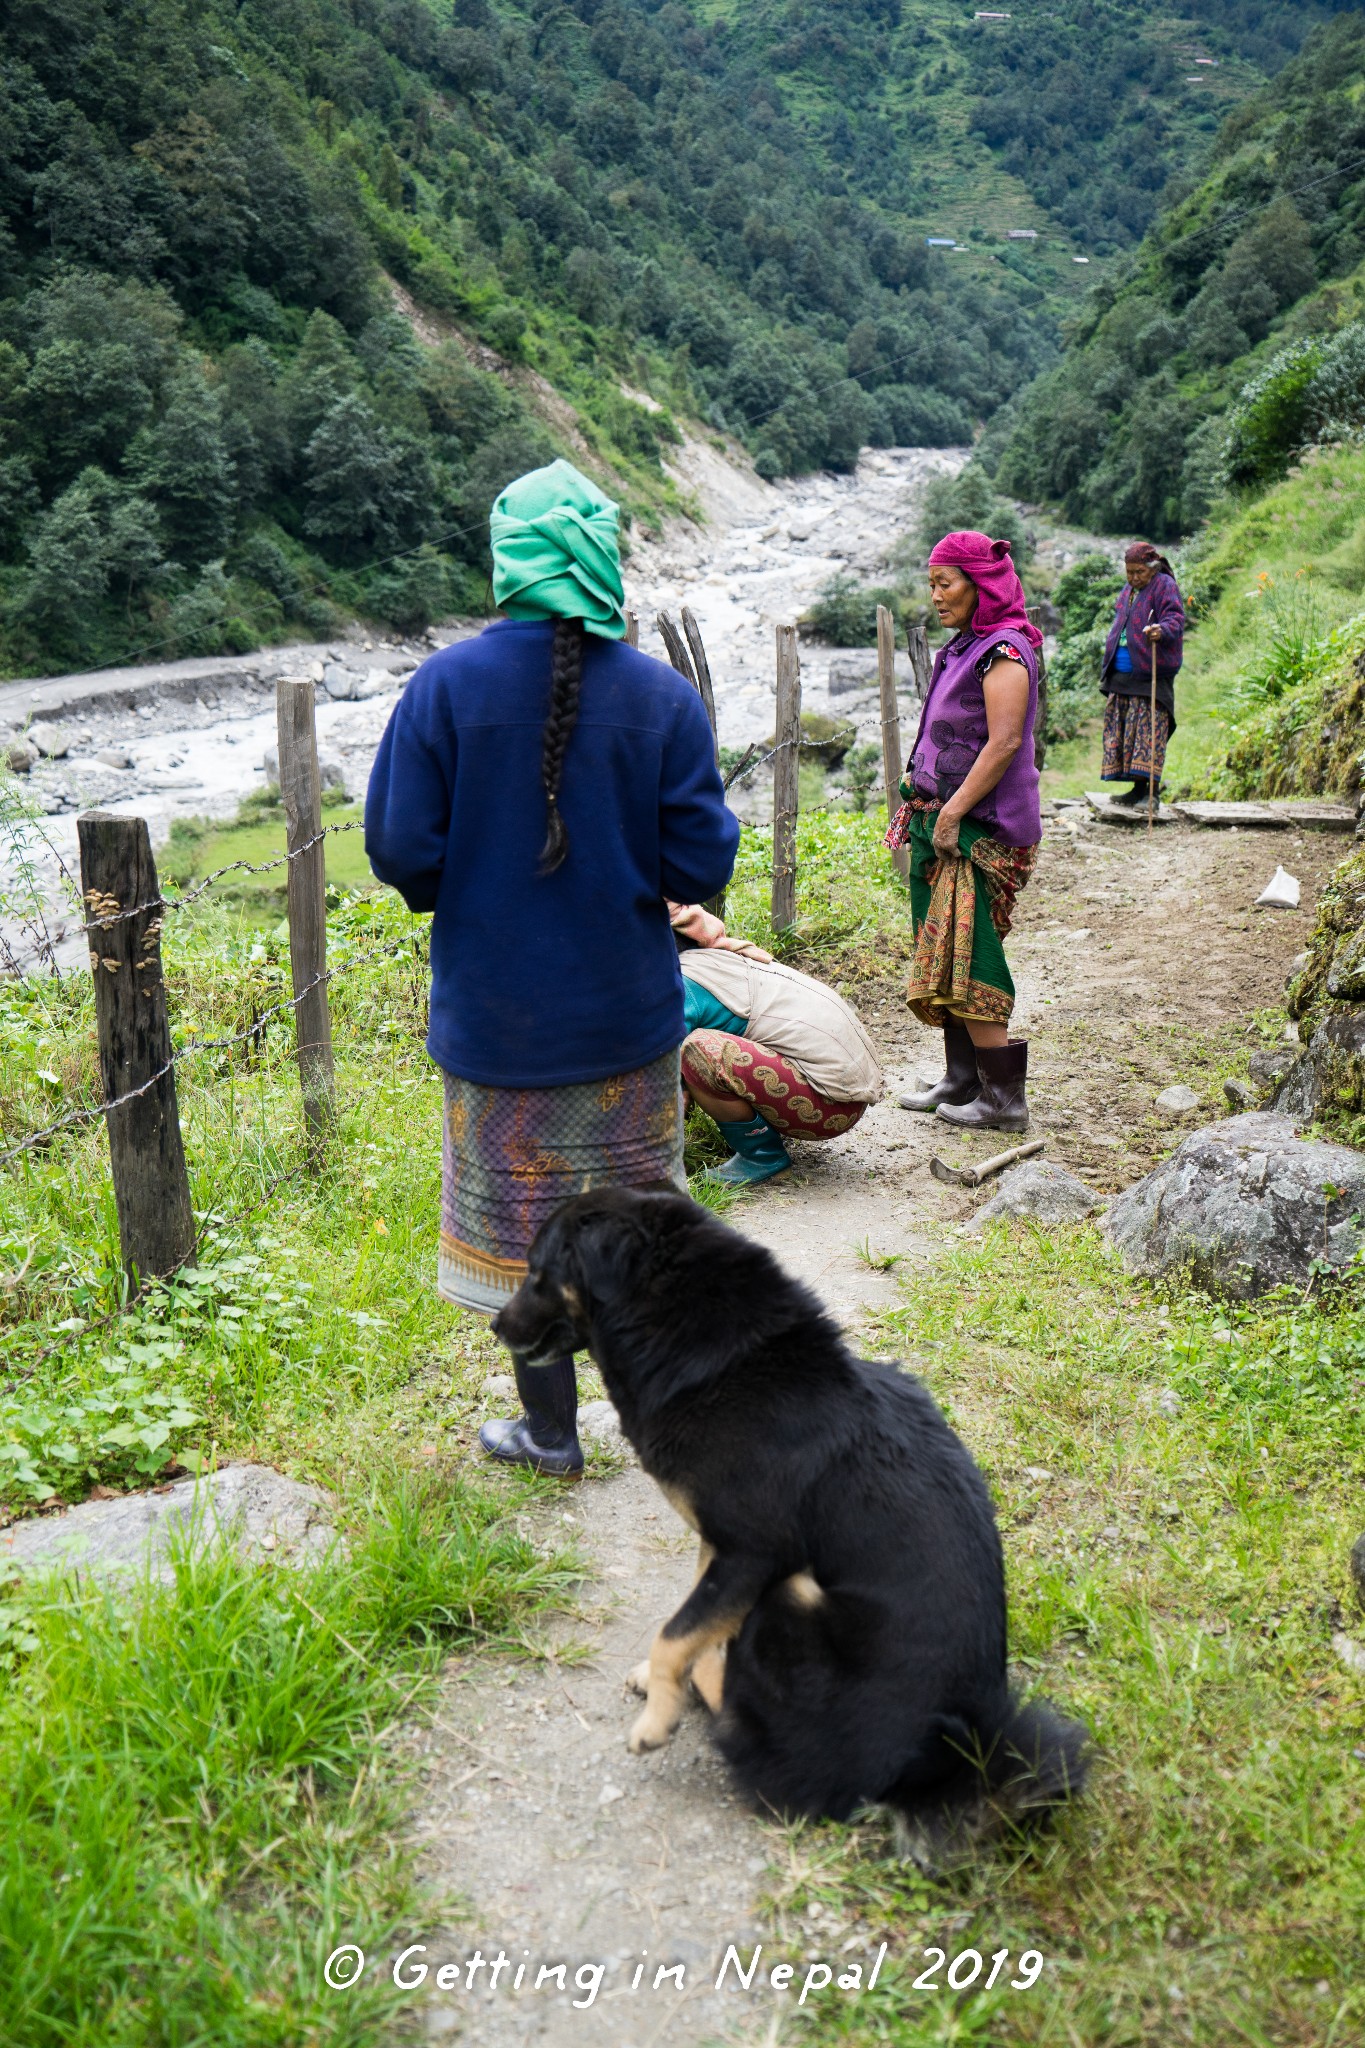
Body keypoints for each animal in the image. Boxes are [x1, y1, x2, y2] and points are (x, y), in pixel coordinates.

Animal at [493, 1187, 1088, 1859]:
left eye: (537, 1272)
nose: (495, 1324)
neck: (719, 1358)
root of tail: (936, 1776)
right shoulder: (722, 1547)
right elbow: (692, 1618)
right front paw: (664, 1681)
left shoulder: (753, 1553)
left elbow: (675, 1633)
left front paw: (656, 1720)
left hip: (795, 1595)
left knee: (745, 1727)